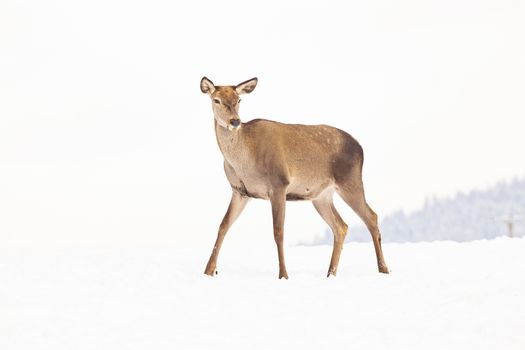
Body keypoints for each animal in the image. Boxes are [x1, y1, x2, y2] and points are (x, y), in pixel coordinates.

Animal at [201, 76, 388, 278]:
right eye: (216, 100)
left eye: (239, 100)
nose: (235, 121)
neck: (243, 164)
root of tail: (361, 148)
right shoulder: (240, 191)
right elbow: (223, 225)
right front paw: (209, 271)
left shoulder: (279, 184)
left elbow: (278, 231)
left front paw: (283, 274)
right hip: (322, 196)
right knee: (341, 226)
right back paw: (331, 273)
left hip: (350, 181)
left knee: (372, 217)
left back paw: (383, 268)